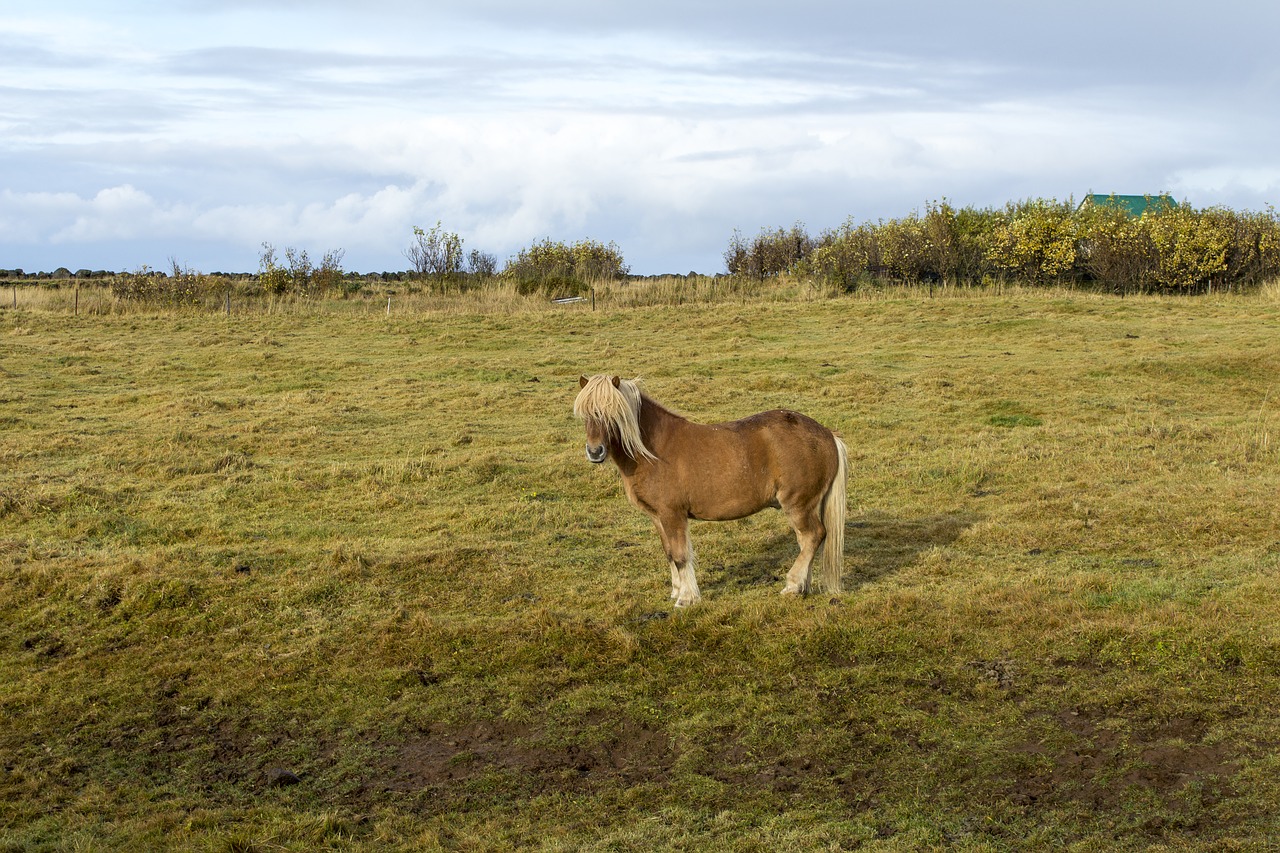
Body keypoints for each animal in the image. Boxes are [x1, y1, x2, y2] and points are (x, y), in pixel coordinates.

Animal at [576, 371, 844, 604]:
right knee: (805, 540)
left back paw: (792, 586)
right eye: (585, 414)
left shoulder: (673, 514)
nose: (595, 452)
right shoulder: (657, 517)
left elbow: (681, 556)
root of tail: (827, 434)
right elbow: (670, 554)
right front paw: (676, 592)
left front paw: (686, 598)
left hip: (798, 504)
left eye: (612, 413)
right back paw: (802, 586)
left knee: (812, 536)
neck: (653, 450)